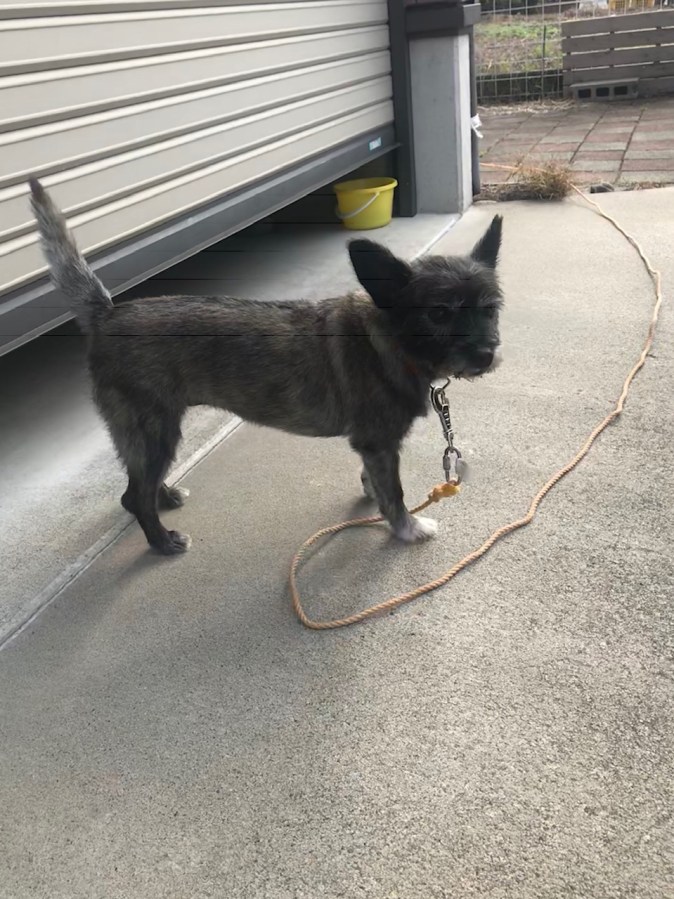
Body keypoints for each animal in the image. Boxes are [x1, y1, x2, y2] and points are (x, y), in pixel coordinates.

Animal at [29, 178, 503, 555]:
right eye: (438, 314)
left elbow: (376, 481)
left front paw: (372, 494)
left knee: (138, 484)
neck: (387, 338)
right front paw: (406, 527)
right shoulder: (380, 444)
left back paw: (164, 495)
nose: (486, 354)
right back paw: (161, 541)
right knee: (134, 496)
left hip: (150, 433)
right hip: (154, 428)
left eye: (490, 308)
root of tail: (107, 314)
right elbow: (396, 492)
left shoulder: (374, 449)